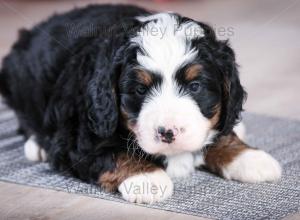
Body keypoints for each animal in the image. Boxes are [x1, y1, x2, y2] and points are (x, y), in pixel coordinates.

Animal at [0, 4, 282, 205]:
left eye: (195, 87)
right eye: (139, 89)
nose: (168, 132)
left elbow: (220, 134)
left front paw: (248, 157)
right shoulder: (82, 134)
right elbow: (112, 153)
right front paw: (147, 178)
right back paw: (38, 145)